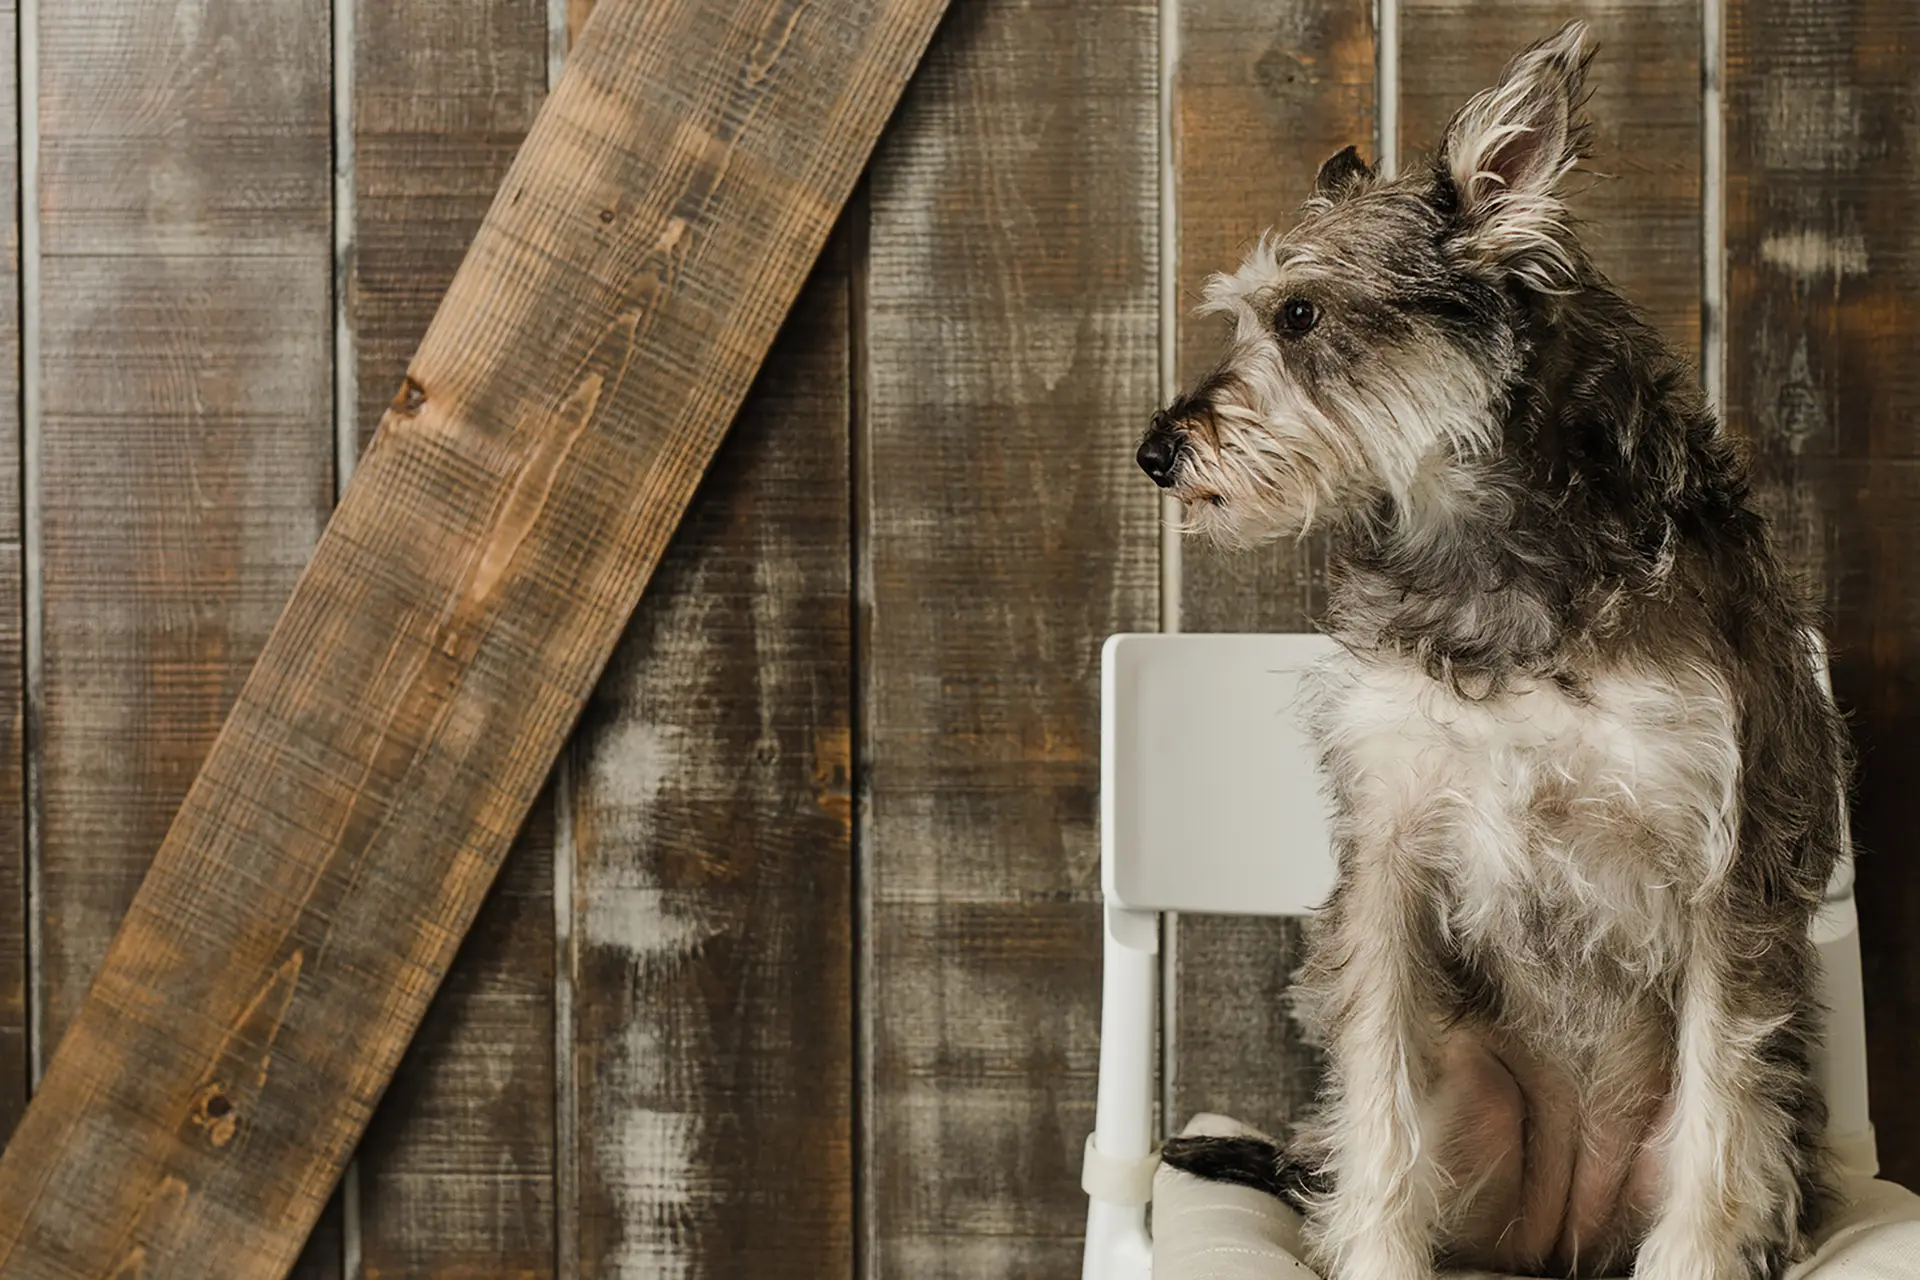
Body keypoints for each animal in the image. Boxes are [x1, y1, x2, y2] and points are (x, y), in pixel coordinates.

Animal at [1144, 22, 1850, 1280]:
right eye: (1251, 315)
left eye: (1300, 316)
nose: (1156, 450)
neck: (1495, 553)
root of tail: (1558, 1232)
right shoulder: (1388, 845)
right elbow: (1376, 1098)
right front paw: (1377, 1251)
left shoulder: (1725, 864)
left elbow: (1721, 1111)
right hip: (1469, 1097)